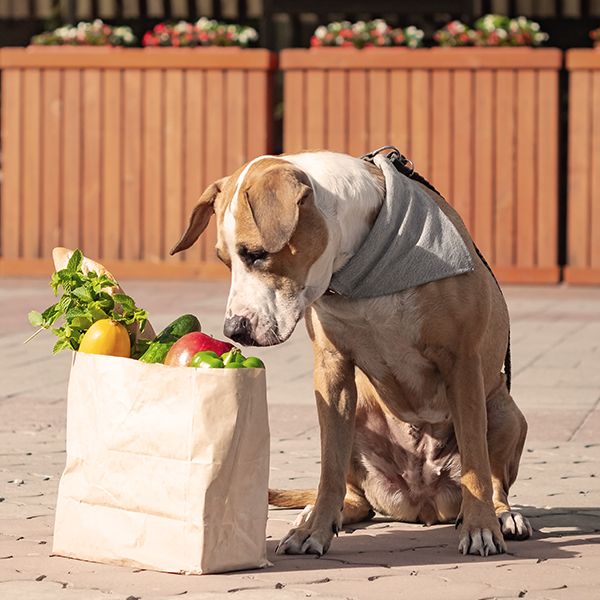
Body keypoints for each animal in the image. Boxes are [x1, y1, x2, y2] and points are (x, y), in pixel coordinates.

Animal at [171, 150, 532, 556]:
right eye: (225, 260)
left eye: (257, 255)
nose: (234, 330)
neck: (359, 272)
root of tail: (422, 502)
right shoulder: (332, 371)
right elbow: (329, 467)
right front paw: (314, 530)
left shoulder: (462, 362)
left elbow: (475, 462)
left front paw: (481, 527)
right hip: (357, 415)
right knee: (355, 493)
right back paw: (318, 513)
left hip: (503, 410)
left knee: (494, 477)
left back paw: (502, 515)